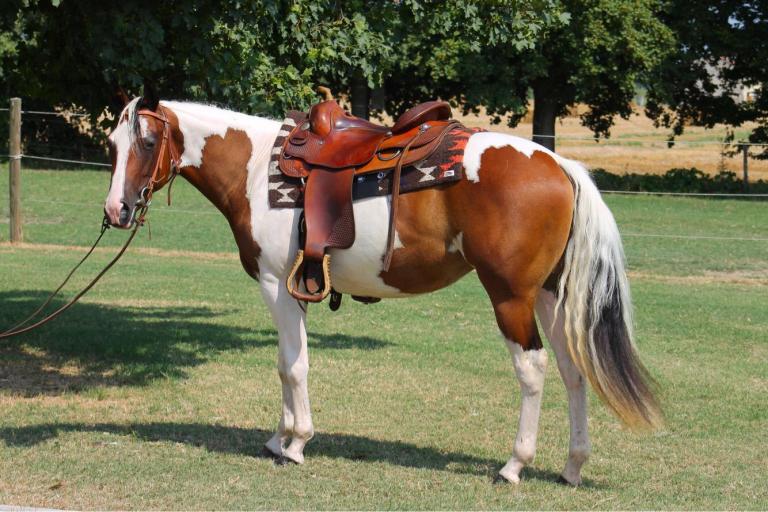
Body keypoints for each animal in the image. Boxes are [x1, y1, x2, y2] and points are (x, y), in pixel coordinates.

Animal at [103, 89, 661, 486]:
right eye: (112, 144)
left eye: (147, 143)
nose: (117, 210)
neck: (257, 167)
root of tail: (557, 165)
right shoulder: (292, 289)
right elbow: (287, 364)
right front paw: (278, 438)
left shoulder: (277, 286)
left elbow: (293, 366)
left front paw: (296, 444)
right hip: (549, 296)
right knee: (573, 370)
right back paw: (572, 465)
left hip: (511, 297)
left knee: (534, 368)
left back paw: (514, 466)